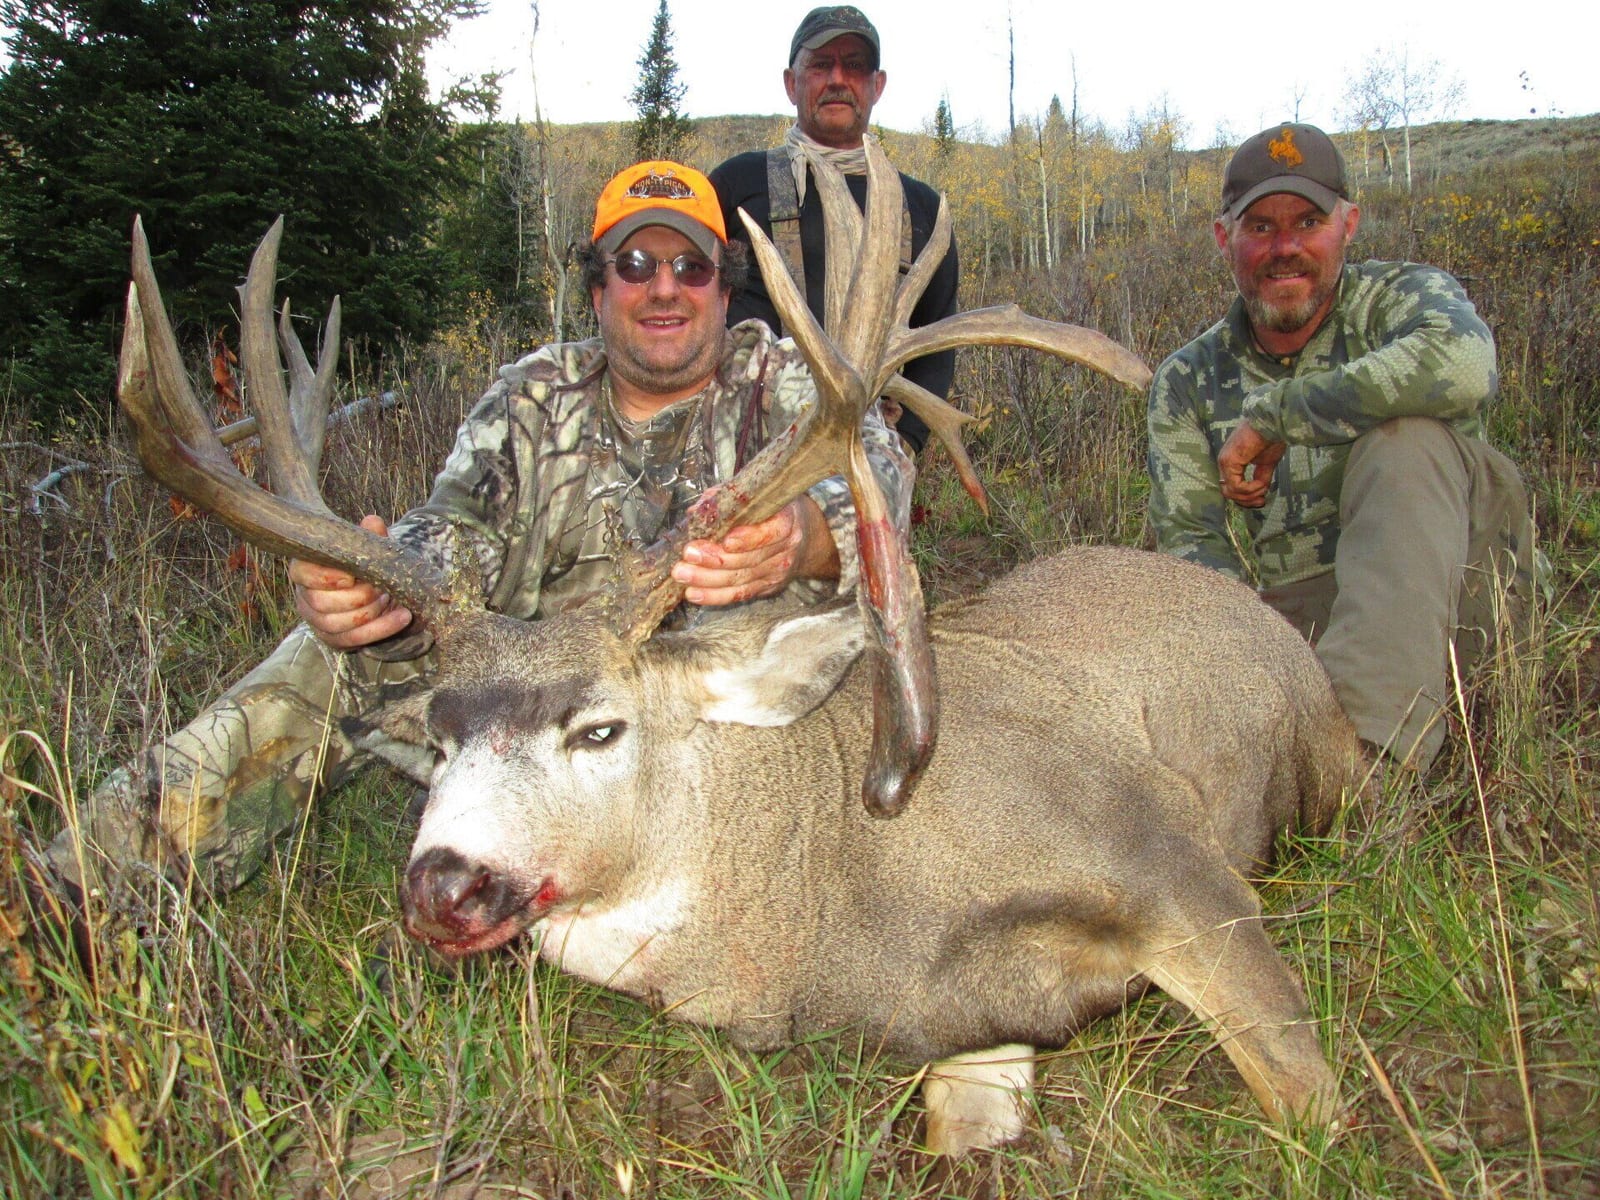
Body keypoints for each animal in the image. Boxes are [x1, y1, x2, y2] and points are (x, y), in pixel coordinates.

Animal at [115, 138, 1356, 1155]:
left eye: (599, 727)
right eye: (443, 739)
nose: (443, 884)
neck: (838, 886)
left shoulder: (1162, 853)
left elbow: (1311, 1107)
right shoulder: (965, 1027)